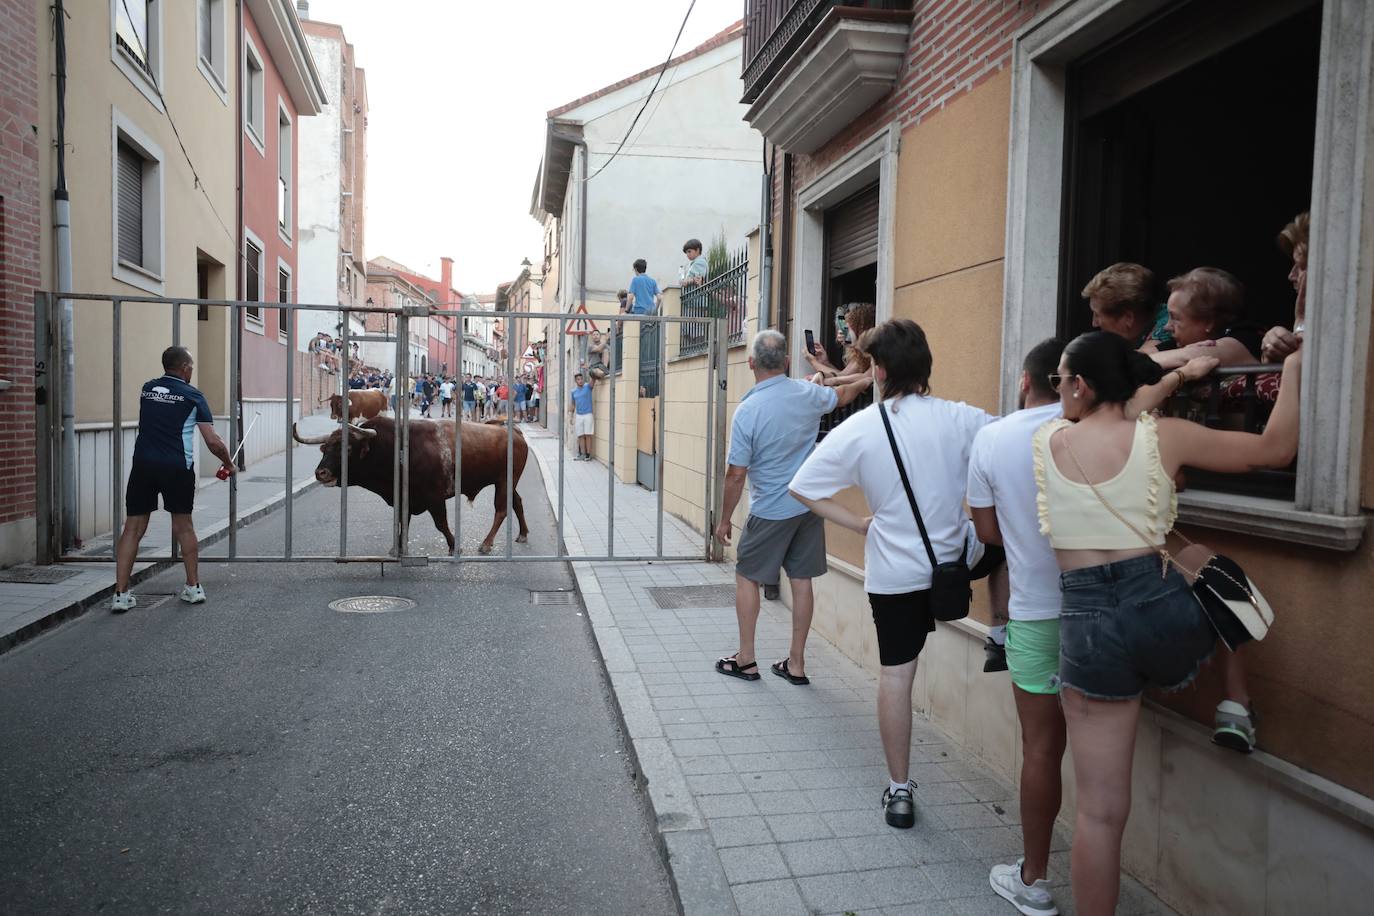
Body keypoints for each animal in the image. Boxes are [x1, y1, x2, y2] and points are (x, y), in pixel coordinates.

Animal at [289, 420, 524, 554]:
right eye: (325, 448)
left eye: (346, 448)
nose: (321, 473)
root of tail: (515, 432)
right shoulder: (405, 497)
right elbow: (404, 521)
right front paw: (398, 547)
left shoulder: (434, 497)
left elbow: (441, 523)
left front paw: (453, 545)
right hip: (508, 483)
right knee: (517, 503)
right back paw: (523, 534)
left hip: (504, 481)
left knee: (501, 510)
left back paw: (486, 544)